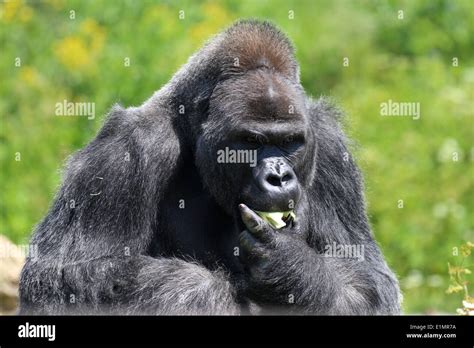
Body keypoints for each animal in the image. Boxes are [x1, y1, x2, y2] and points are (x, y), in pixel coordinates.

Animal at [21, 21, 400, 316]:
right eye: (251, 141)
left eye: (290, 141)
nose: (278, 177)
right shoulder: (123, 151)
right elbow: (63, 281)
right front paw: (207, 291)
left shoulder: (330, 146)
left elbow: (370, 281)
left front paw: (295, 269)